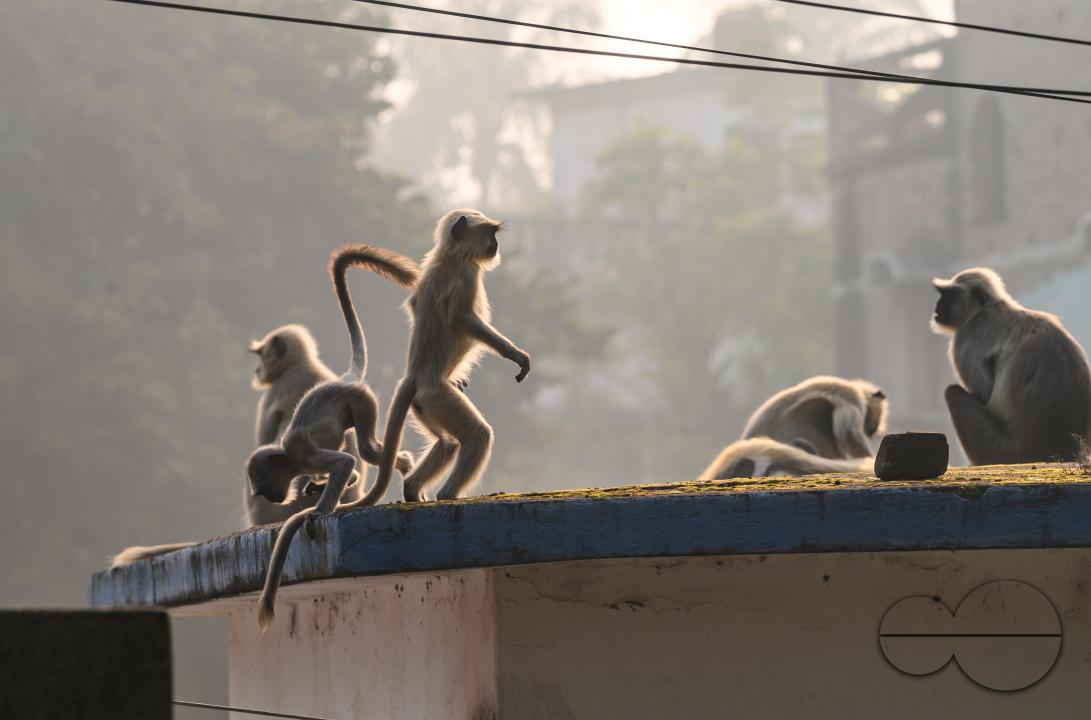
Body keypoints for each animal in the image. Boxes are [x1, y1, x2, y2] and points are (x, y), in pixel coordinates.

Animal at [255, 244, 418, 629]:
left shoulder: (301, 452)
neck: (288, 459)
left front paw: (319, 511)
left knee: (368, 450)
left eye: (264, 486)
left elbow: (344, 462)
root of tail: (347, 378)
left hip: (362, 403)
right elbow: (345, 468)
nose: (271, 497)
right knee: (365, 451)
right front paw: (318, 489)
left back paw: (402, 462)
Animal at [932, 267, 1091, 465]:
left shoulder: (965, 340)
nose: (937, 307)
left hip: (1000, 450)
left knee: (952, 392)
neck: (987, 309)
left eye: (950, 295)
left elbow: (984, 394)